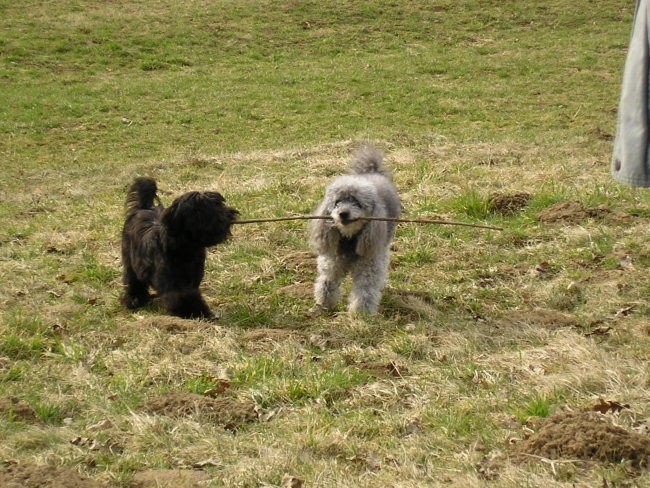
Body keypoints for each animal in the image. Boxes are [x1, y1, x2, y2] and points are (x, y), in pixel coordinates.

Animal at [120, 177, 237, 318]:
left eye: (219, 204)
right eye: (203, 212)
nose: (229, 214)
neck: (186, 247)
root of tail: (142, 208)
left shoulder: (192, 279)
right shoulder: (174, 284)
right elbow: (183, 298)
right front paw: (195, 313)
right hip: (129, 258)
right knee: (132, 280)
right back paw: (134, 300)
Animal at [308, 147, 400, 314]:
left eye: (356, 202)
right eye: (337, 202)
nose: (343, 213)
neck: (349, 238)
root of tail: (373, 172)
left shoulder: (368, 265)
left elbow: (365, 291)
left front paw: (361, 314)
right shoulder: (332, 262)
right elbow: (326, 283)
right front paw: (323, 306)